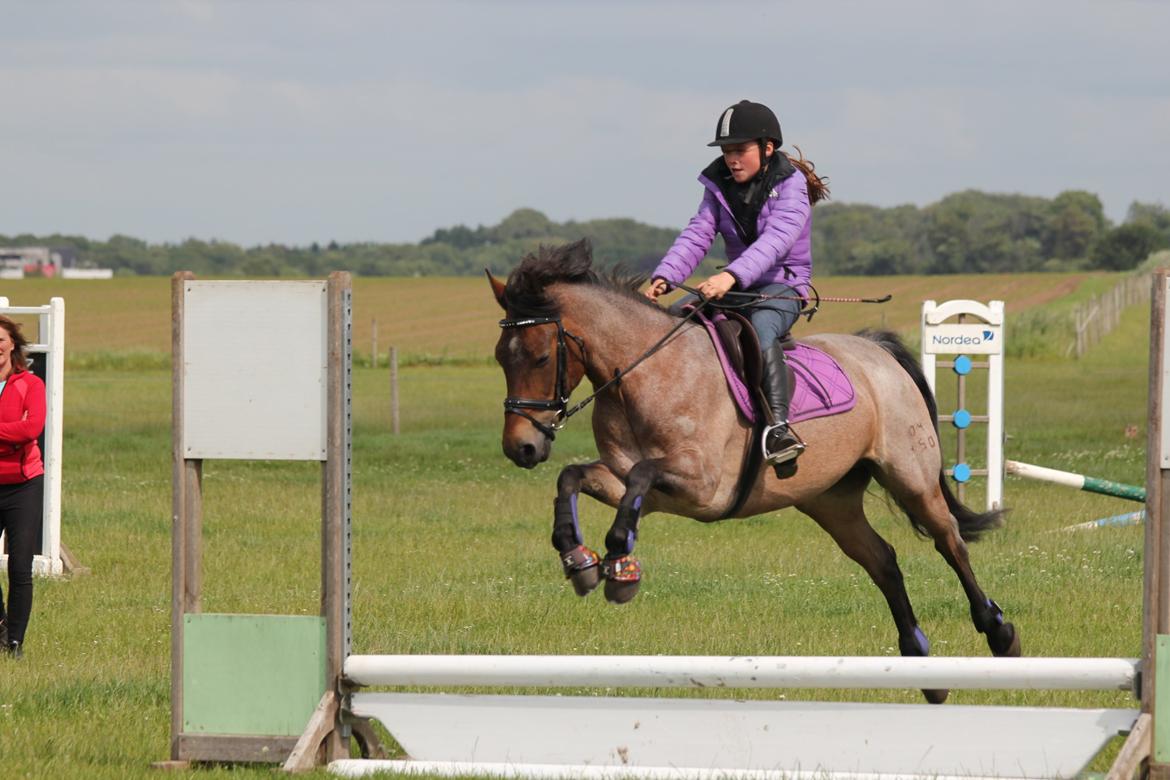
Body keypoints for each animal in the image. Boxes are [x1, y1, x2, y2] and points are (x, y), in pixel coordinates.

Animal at [489, 240, 1020, 706]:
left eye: (540, 356)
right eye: (500, 357)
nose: (522, 447)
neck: (644, 376)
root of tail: (877, 352)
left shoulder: (700, 485)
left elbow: (638, 479)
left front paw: (620, 567)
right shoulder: (641, 486)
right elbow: (574, 478)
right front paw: (578, 559)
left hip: (910, 476)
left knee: (948, 541)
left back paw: (1001, 636)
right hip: (831, 500)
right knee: (883, 562)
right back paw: (924, 670)